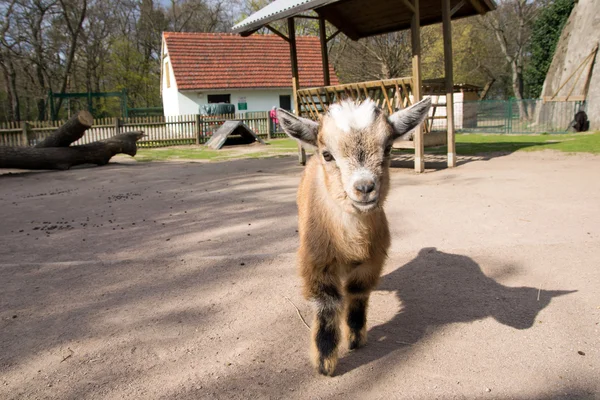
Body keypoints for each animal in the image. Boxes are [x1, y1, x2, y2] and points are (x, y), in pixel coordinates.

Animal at [276, 97, 432, 376]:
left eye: (388, 148)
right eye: (328, 154)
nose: (365, 188)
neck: (351, 243)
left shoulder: (372, 261)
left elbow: (357, 294)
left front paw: (355, 339)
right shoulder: (317, 262)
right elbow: (327, 304)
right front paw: (325, 363)